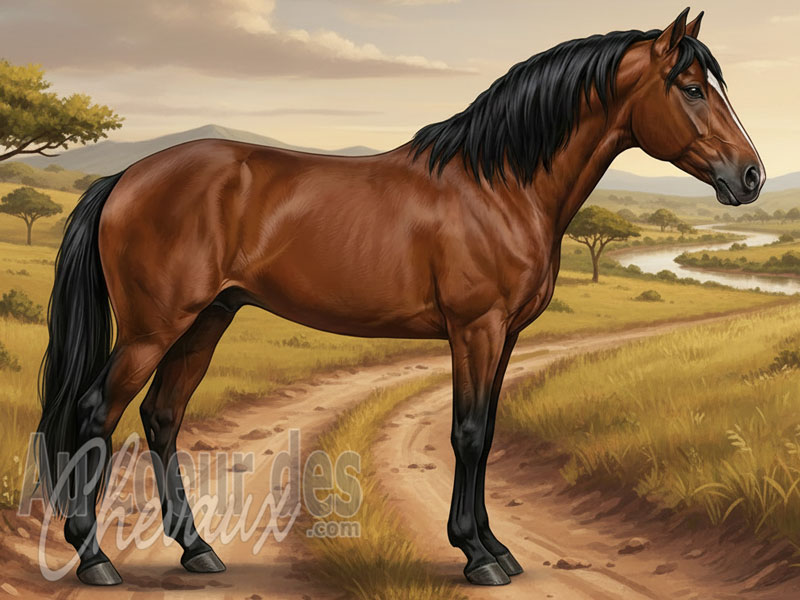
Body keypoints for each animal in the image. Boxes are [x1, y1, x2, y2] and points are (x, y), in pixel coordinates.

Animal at [37, 7, 764, 588]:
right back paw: (95, 558)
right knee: (98, 412)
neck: (499, 185)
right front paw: (478, 556)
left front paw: (494, 545)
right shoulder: (476, 328)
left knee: (162, 417)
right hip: (152, 330)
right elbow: (467, 433)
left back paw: (198, 550)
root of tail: (126, 176)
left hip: (205, 322)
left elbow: (487, 433)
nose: (751, 176)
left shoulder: (506, 335)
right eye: (691, 89)